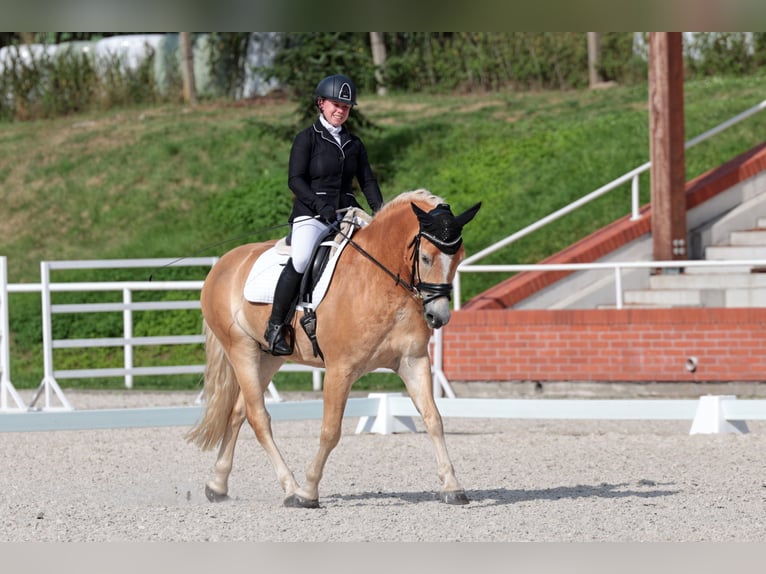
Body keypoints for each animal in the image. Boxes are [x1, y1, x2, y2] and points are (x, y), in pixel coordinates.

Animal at [186, 190, 480, 508]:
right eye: (425, 257)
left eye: (459, 258)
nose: (439, 317)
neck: (379, 280)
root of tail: (223, 263)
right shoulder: (340, 369)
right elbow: (330, 431)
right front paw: (308, 492)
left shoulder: (412, 362)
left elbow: (433, 419)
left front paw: (452, 486)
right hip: (241, 350)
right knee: (258, 417)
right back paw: (290, 488)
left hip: (267, 357)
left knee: (238, 412)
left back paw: (217, 484)